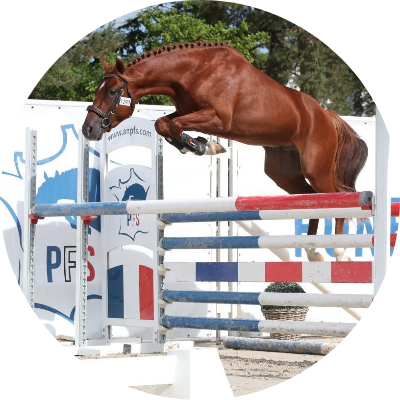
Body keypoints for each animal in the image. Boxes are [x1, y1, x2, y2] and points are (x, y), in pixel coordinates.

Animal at [82, 41, 368, 262]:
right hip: (283, 174)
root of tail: (326, 115)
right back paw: (311, 251)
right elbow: (163, 123)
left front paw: (204, 145)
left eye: (112, 92)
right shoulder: (187, 111)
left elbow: (172, 124)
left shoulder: (219, 119)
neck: (194, 71)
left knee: (335, 198)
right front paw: (199, 145)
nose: (88, 129)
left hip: (316, 168)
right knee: (311, 200)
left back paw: (340, 251)